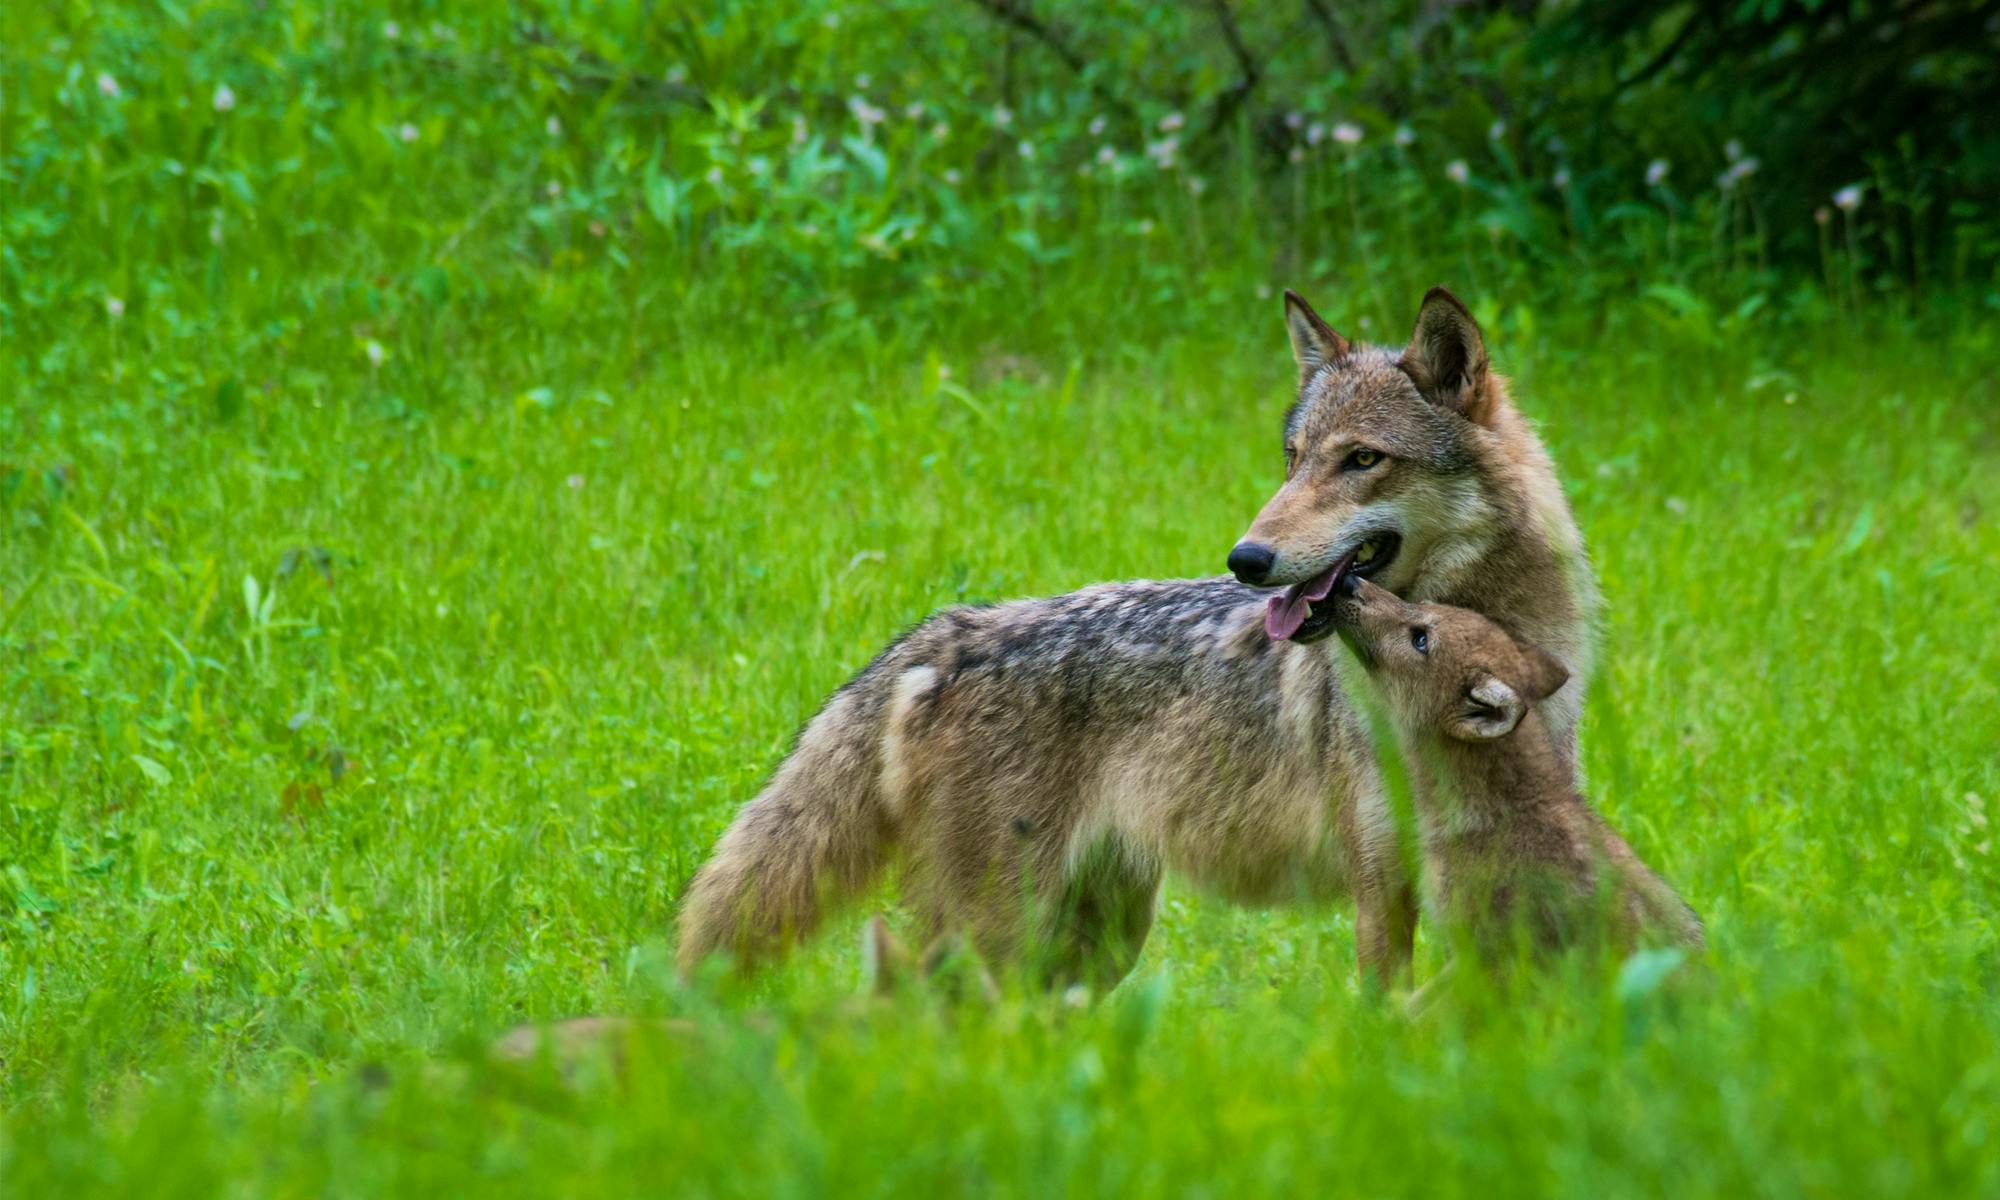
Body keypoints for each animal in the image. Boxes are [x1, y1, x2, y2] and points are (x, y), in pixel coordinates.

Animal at [680, 286, 1600, 988]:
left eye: (1362, 460)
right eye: (1294, 457)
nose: (1246, 558)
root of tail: (949, 632)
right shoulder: (1381, 882)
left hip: (1095, 942)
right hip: (1007, 934)